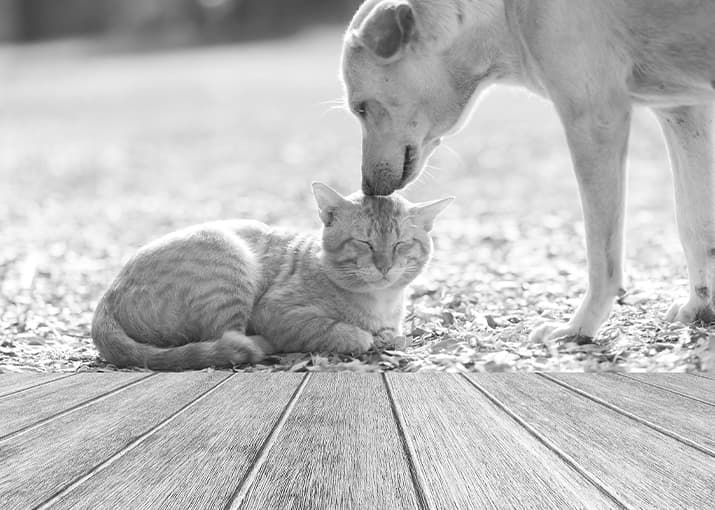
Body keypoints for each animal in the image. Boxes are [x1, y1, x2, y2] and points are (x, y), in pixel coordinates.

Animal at [91, 183, 454, 370]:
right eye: (364, 242)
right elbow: (331, 328)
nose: (384, 266)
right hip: (227, 261)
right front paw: (358, 336)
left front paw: (386, 335)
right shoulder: (275, 312)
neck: (382, 302)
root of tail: (106, 297)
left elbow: (395, 335)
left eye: (400, 244)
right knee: (226, 340)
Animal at [342, 0, 715, 342]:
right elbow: (694, 226)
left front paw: (580, 328)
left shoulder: (595, 119)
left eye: (360, 108)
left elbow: (601, 255)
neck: (508, 13)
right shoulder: (682, 112)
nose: (367, 187)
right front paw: (699, 308)